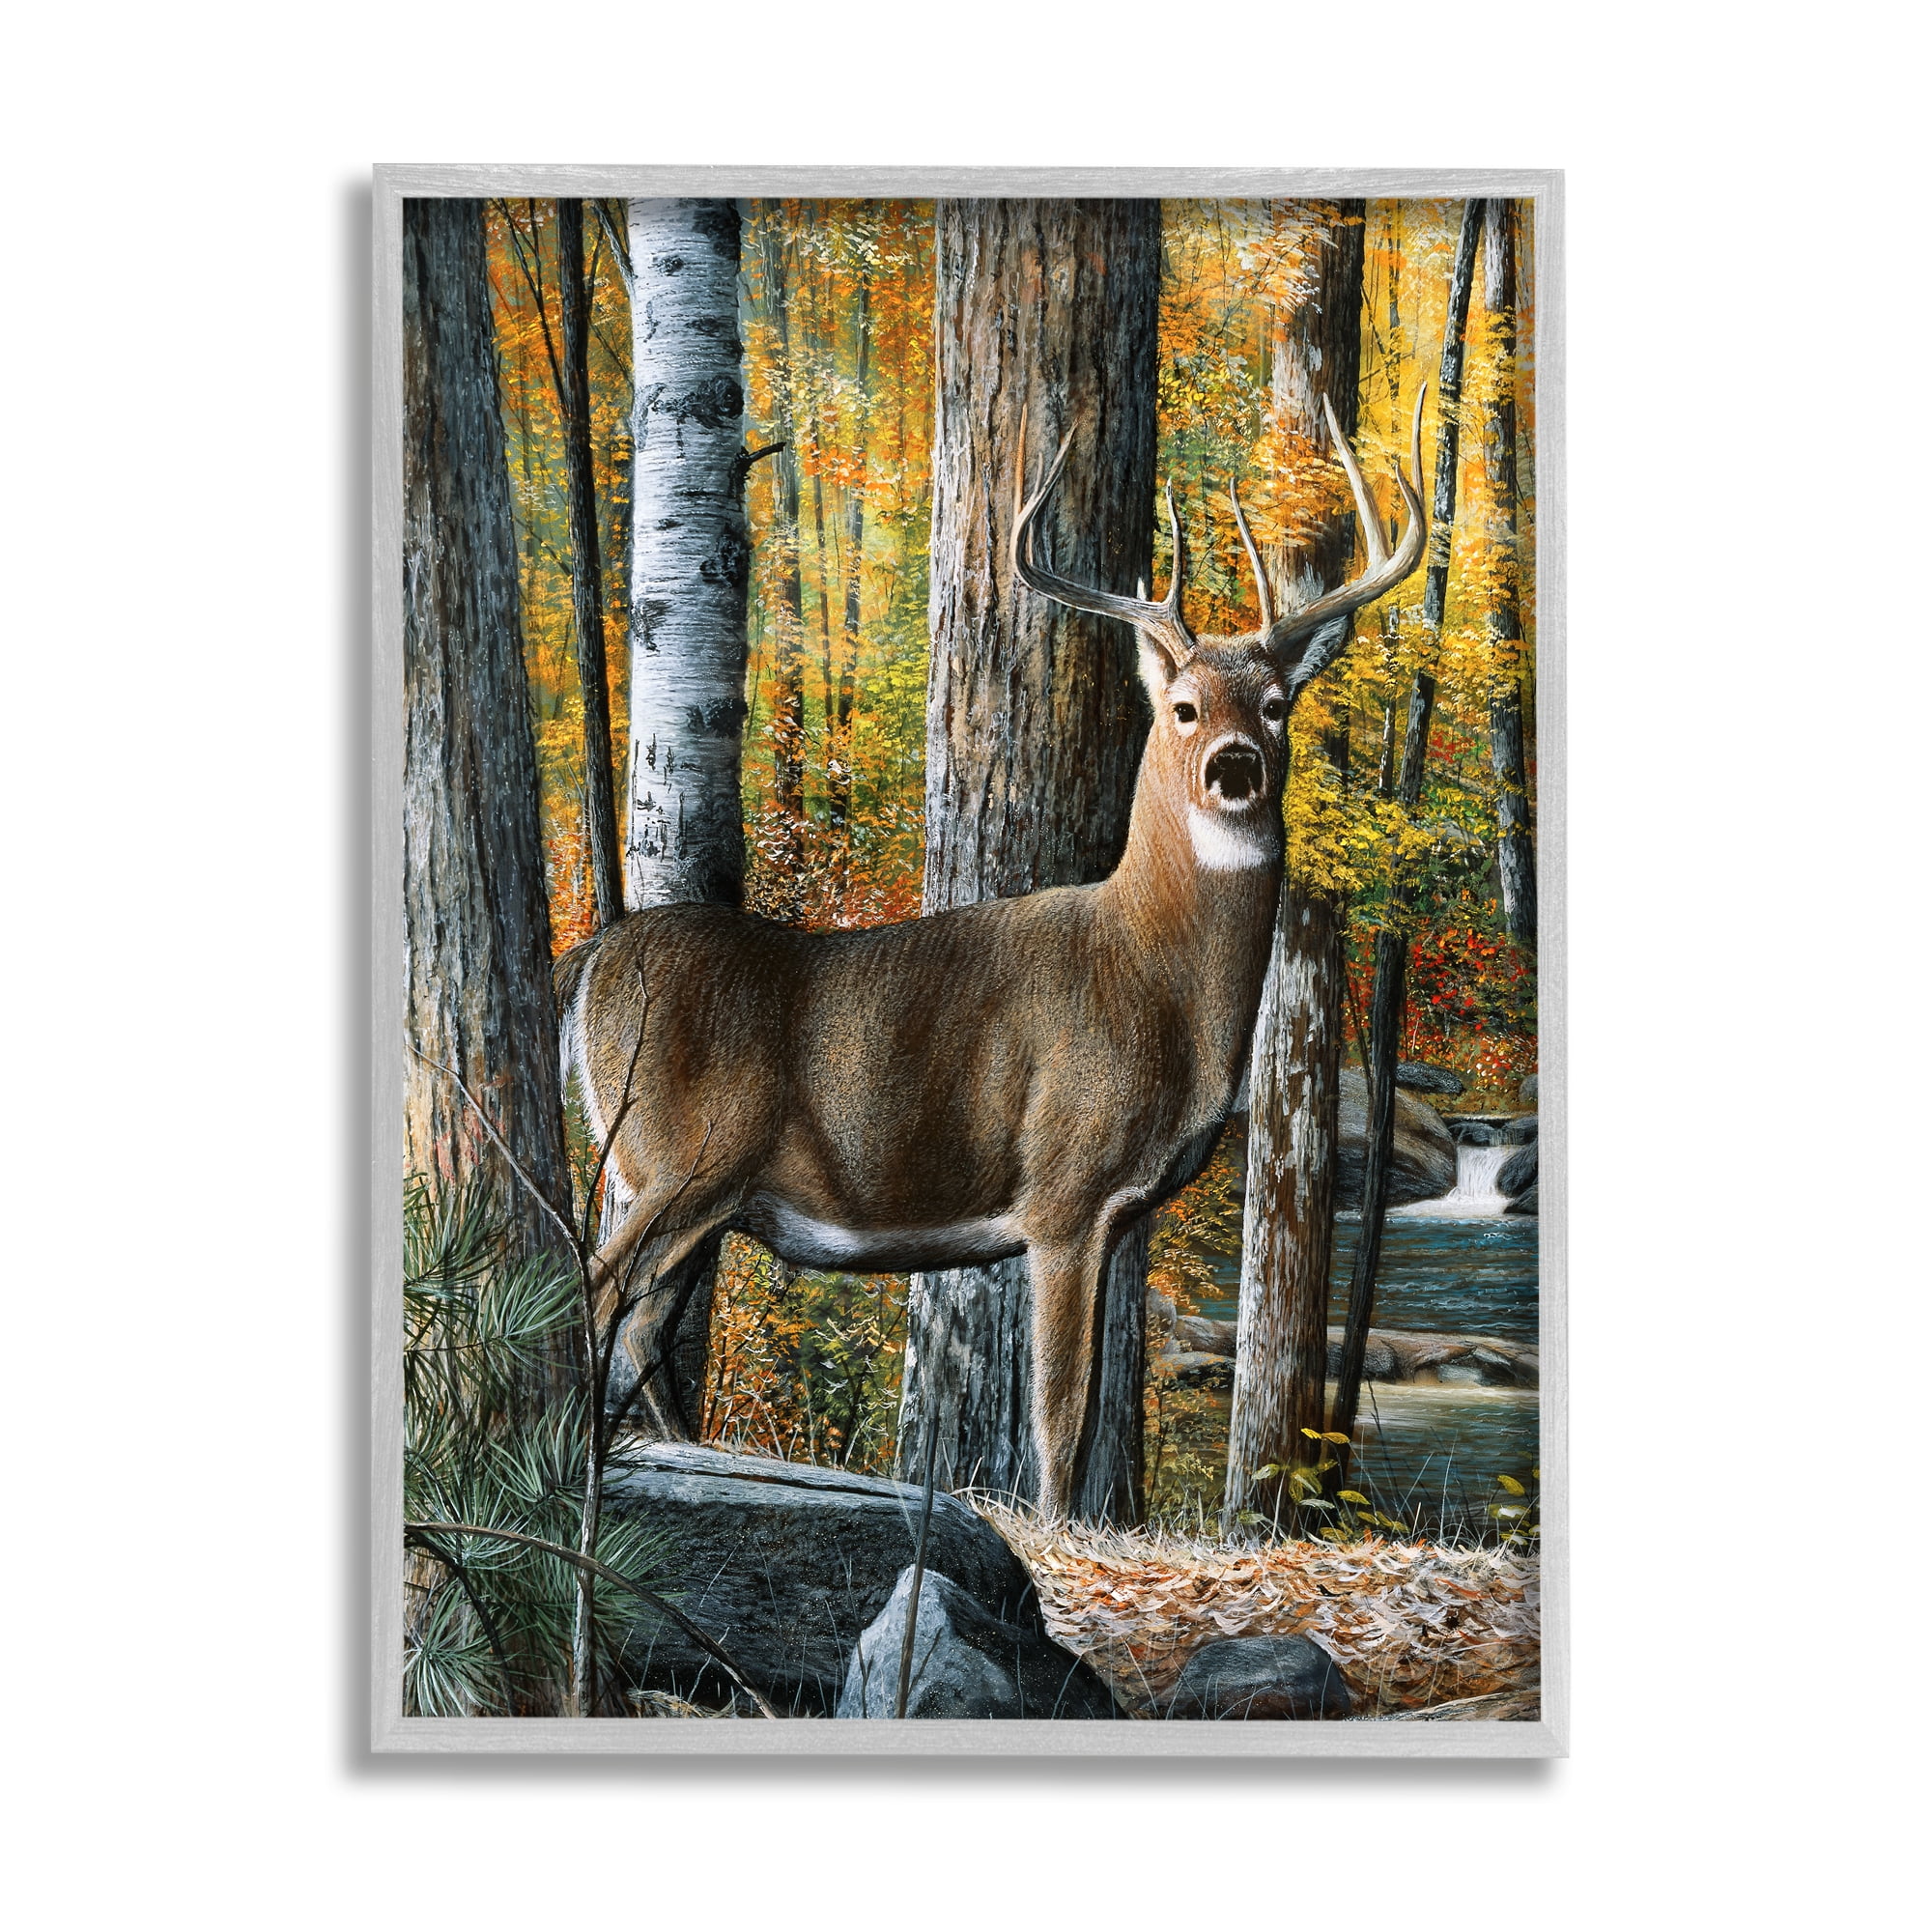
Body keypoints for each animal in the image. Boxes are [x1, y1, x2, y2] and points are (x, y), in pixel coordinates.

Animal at [556, 388, 1427, 1519]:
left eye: (1276, 707)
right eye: (1184, 707)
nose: (1233, 765)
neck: (1152, 976)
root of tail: (588, 963)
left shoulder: (1116, 1213)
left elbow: (1086, 1409)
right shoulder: (1063, 1185)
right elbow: (1060, 1415)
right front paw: (1055, 1529)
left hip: (676, 1184)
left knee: (636, 1325)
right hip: (677, 1154)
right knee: (594, 1293)